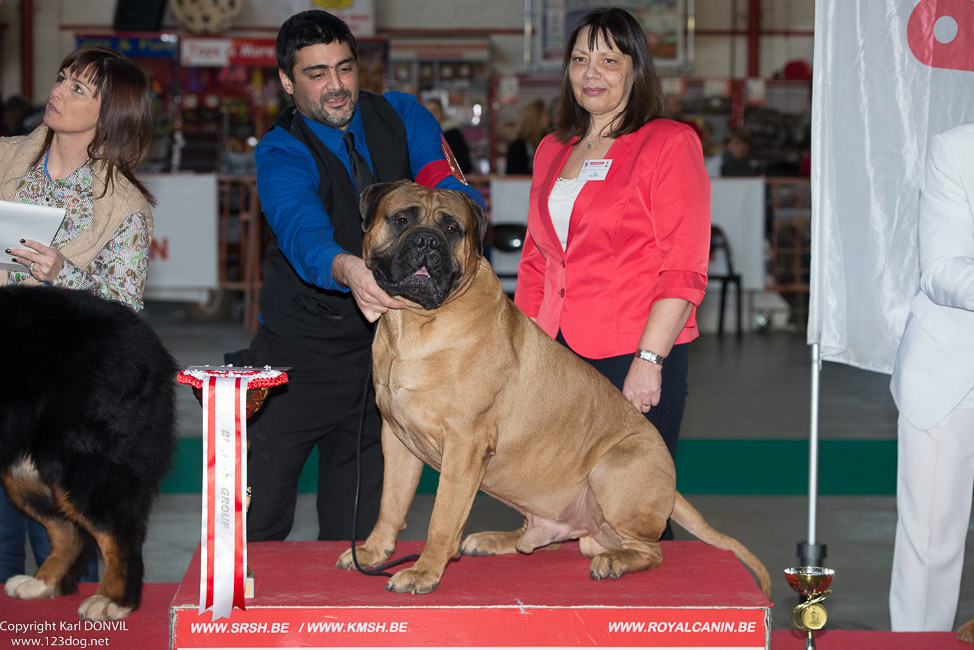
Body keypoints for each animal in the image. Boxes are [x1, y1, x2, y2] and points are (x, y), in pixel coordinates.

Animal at [0, 284, 175, 616]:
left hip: (82, 464)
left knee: (119, 534)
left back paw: (112, 600)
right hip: (27, 469)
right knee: (69, 533)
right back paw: (40, 583)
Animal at [340, 178, 772, 596]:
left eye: (451, 230)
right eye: (401, 220)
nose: (427, 241)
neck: (413, 323)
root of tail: (671, 482)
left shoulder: (465, 447)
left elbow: (442, 518)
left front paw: (424, 571)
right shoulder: (397, 439)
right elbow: (391, 505)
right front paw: (373, 552)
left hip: (612, 469)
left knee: (649, 550)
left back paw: (614, 562)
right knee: (544, 539)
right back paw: (494, 539)